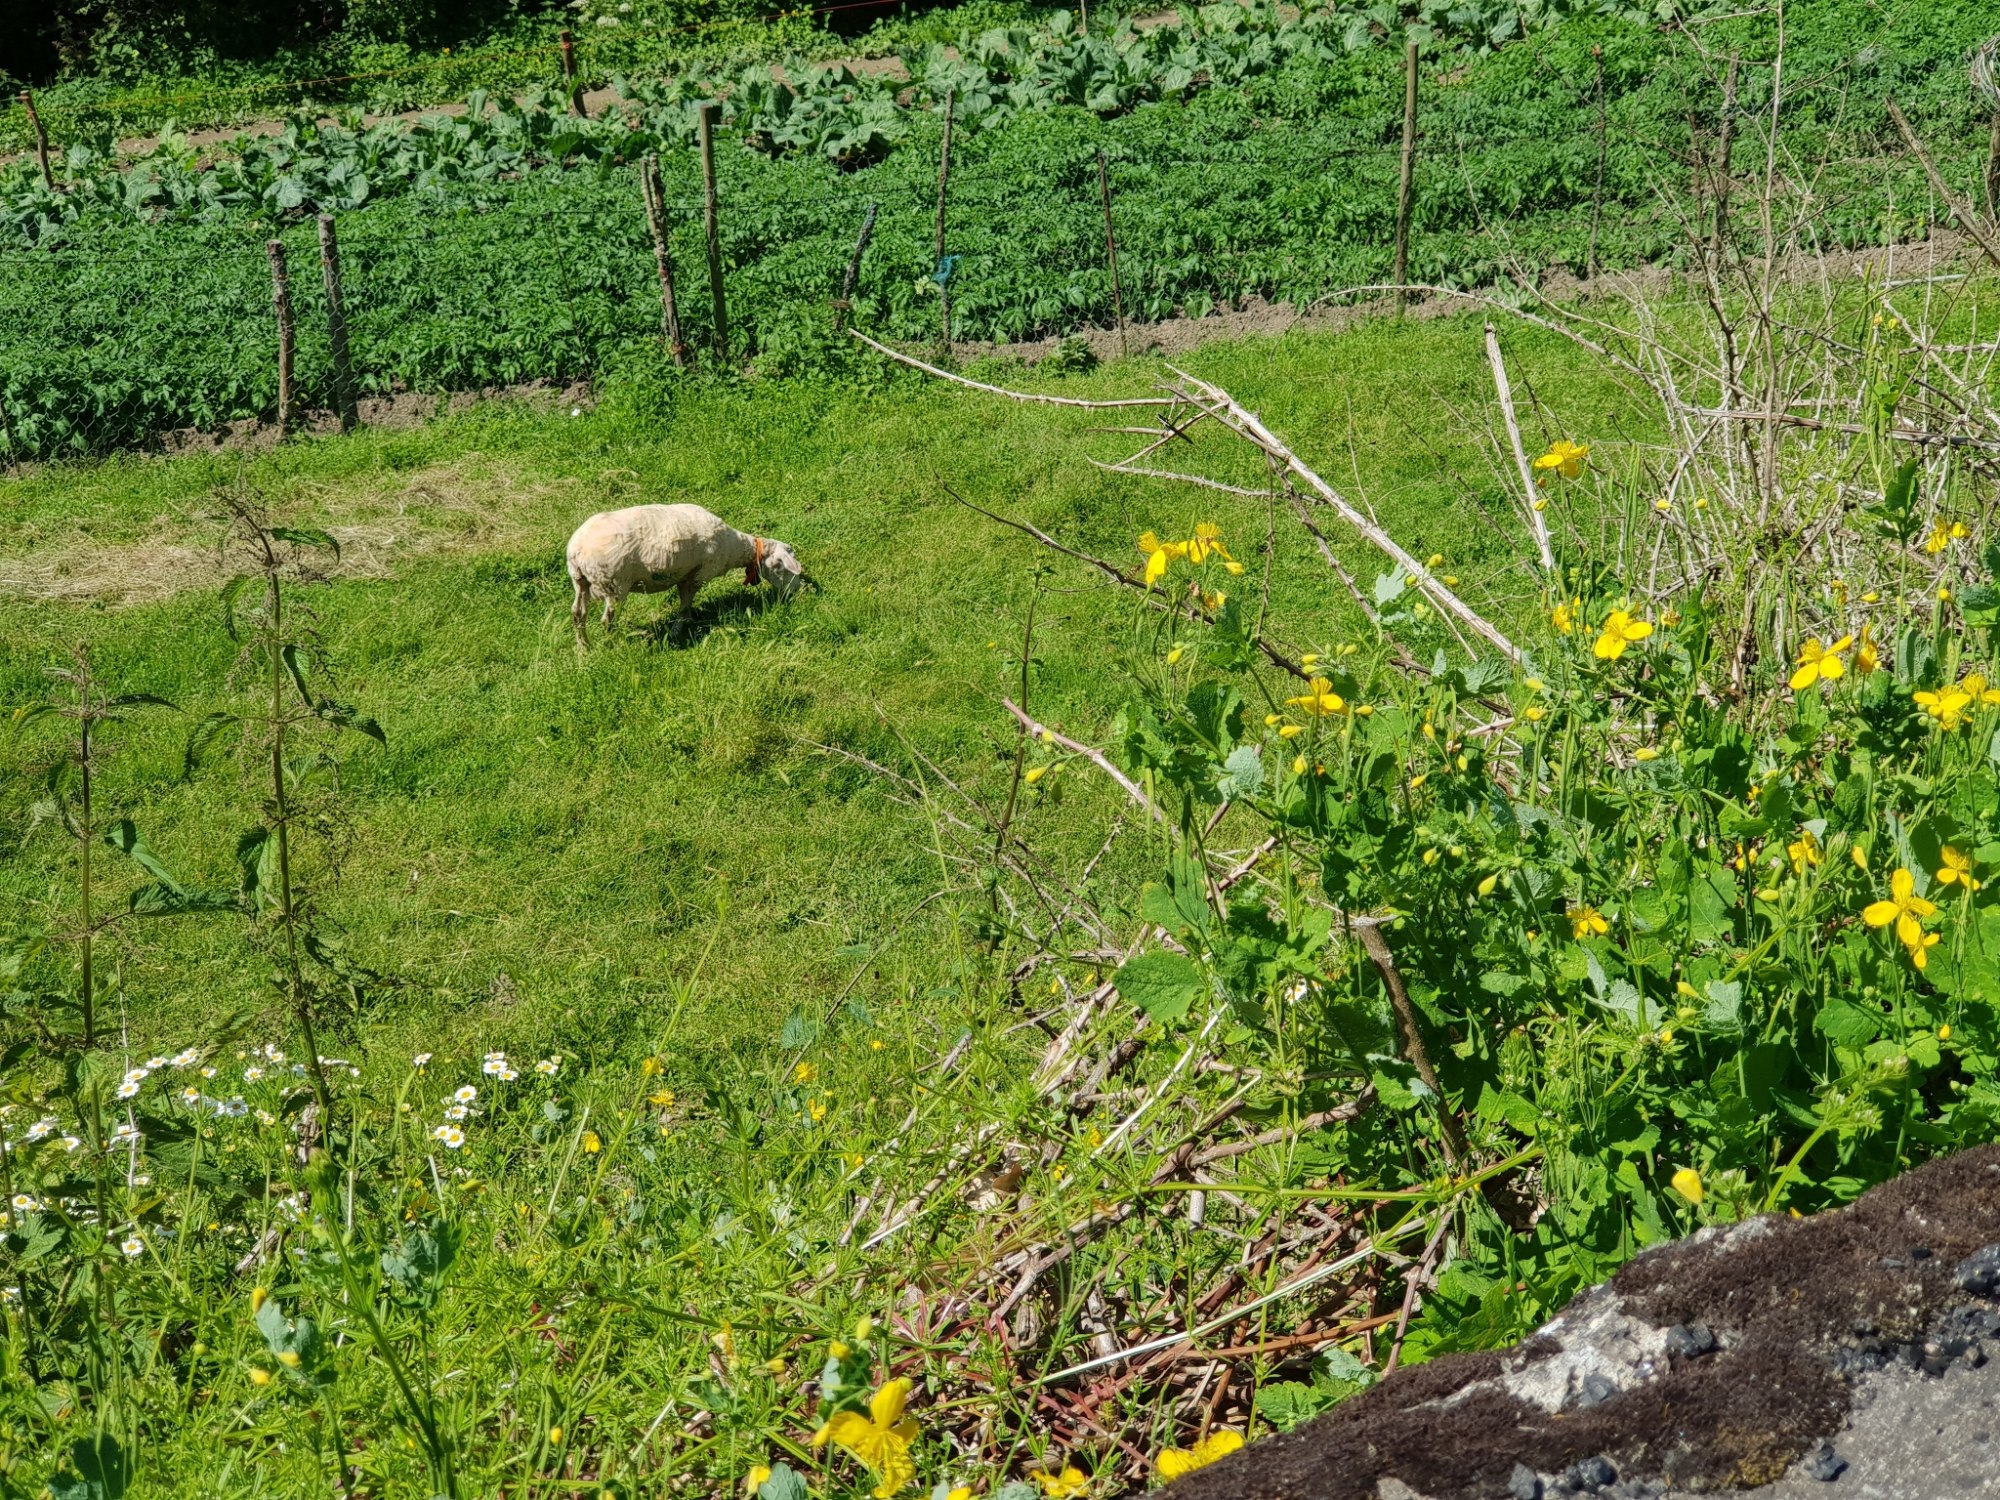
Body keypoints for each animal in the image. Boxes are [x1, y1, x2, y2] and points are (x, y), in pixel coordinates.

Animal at [566, 503, 804, 644]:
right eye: (781, 568)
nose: (795, 592)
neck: (734, 547)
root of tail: (576, 550)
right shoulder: (700, 574)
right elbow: (686, 599)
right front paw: (679, 627)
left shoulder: (684, 574)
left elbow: (684, 600)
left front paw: (685, 622)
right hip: (614, 583)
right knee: (607, 620)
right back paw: (613, 643)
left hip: (580, 581)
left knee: (578, 614)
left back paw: (584, 649)